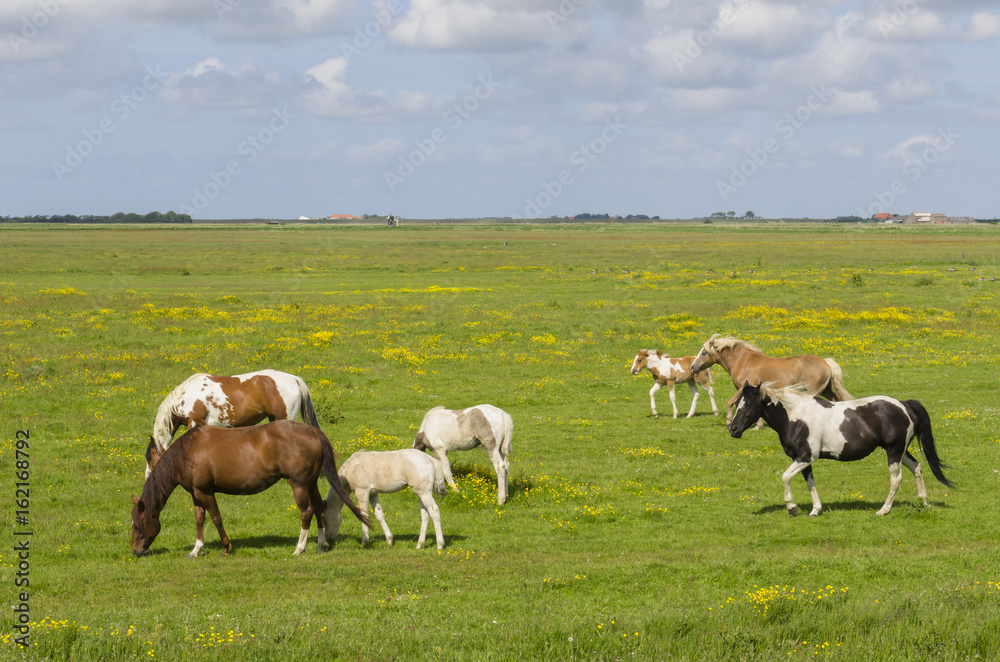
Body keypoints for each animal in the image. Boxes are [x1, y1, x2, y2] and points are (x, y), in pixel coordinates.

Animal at [131, 419, 368, 557]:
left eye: (138, 525)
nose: (135, 550)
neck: (188, 452)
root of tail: (313, 432)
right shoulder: (196, 494)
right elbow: (199, 519)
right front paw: (196, 549)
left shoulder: (205, 492)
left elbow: (216, 518)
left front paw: (226, 547)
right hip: (310, 483)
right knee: (319, 508)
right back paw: (321, 545)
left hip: (299, 484)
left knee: (306, 511)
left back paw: (299, 548)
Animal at [690, 334, 853, 424]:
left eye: (704, 353)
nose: (692, 367)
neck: (743, 361)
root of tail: (826, 363)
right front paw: (758, 425)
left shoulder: (743, 387)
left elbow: (731, 402)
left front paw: (729, 420)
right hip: (826, 390)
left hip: (814, 391)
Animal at [727, 381, 953, 517]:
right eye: (738, 403)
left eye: (748, 404)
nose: (733, 429)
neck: (796, 417)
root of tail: (904, 404)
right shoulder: (802, 459)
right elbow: (810, 483)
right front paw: (815, 510)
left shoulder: (805, 457)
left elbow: (785, 477)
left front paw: (792, 508)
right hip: (901, 451)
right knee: (917, 467)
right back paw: (924, 502)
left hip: (894, 451)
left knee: (896, 479)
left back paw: (883, 510)